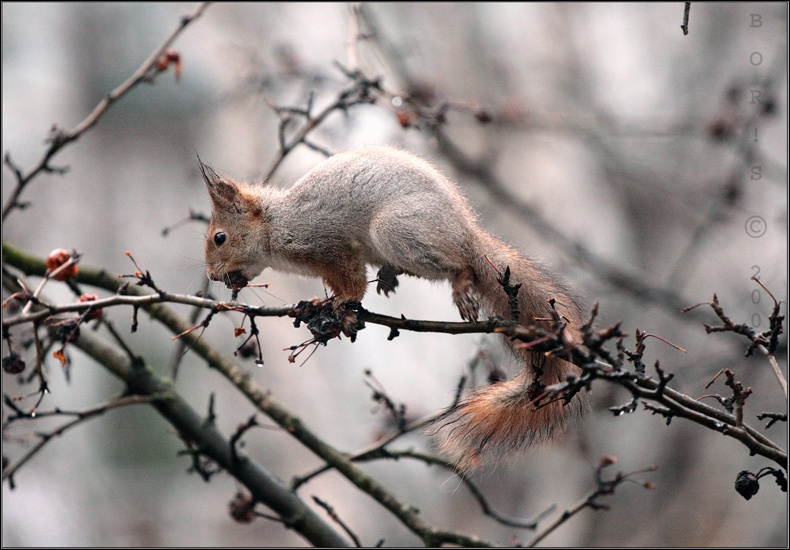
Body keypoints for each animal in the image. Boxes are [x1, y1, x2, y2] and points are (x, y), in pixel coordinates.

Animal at [202, 146, 585, 470]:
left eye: (220, 238)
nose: (212, 276)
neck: (275, 226)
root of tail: (467, 232)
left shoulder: (331, 247)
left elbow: (352, 283)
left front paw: (340, 301)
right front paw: (318, 303)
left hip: (398, 231)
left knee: (460, 264)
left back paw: (460, 282)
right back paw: (388, 276)